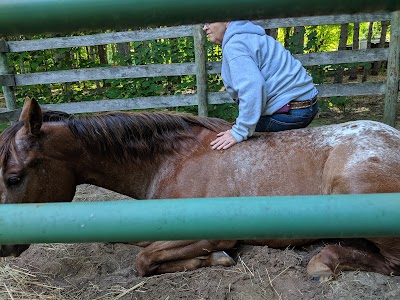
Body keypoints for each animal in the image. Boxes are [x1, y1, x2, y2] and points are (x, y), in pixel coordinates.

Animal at [0, 97, 400, 282]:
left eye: (14, 177)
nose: (4, 246)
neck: (170, 160)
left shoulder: (211, 234)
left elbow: (144, 260)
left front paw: (216, 260)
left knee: (390, 262)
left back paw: (323, 261)